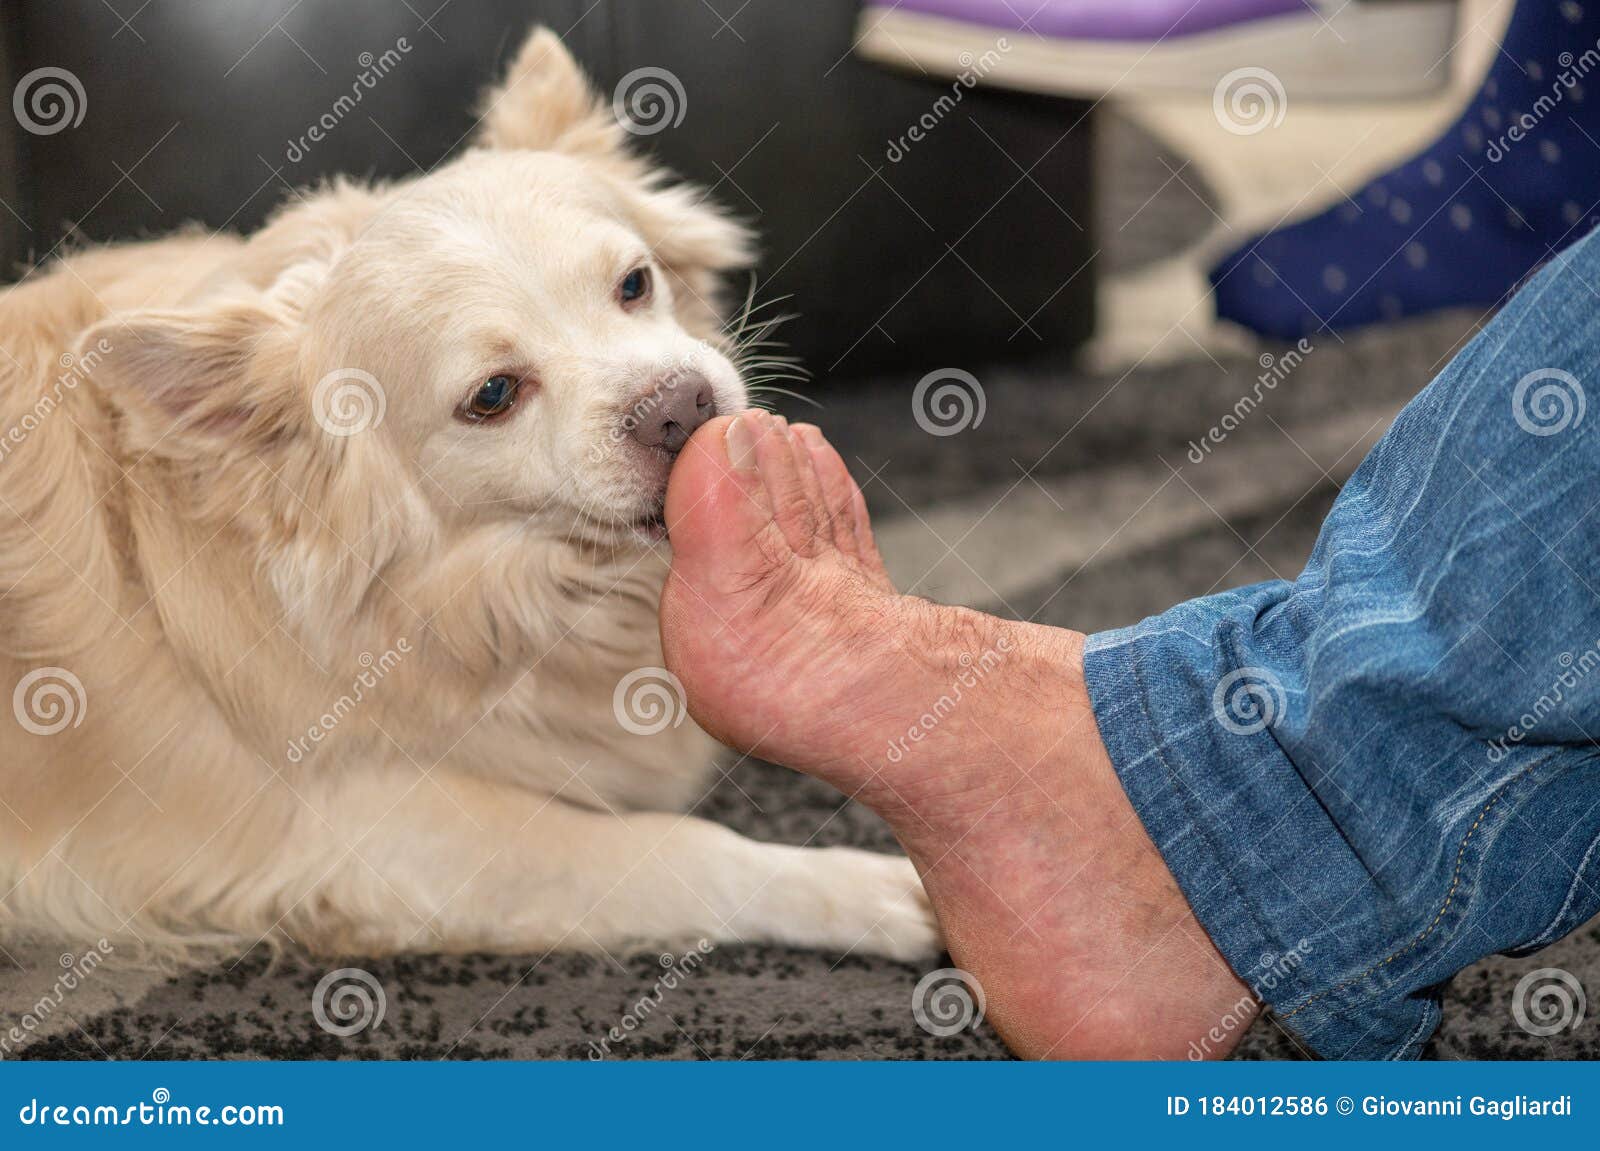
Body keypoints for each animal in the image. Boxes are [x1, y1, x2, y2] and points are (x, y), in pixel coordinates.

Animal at [0, 29, 934, 960]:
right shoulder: (381, 835)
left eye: (635, 284)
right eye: (493, 396)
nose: (679, 405)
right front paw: (863, 888)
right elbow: (677, 848)